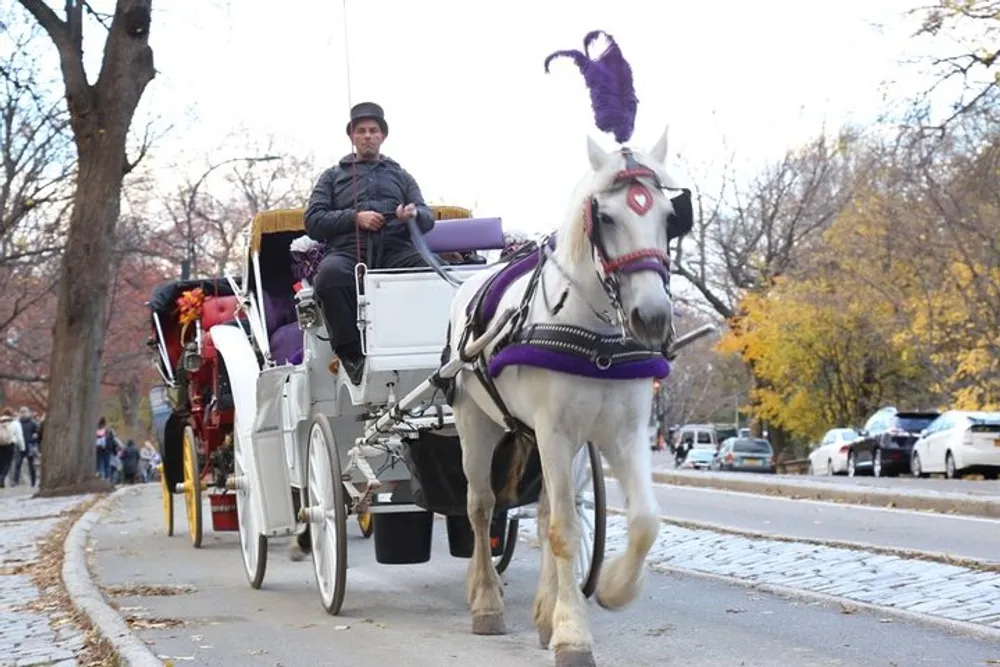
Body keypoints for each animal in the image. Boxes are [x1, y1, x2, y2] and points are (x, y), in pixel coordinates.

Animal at [446, 126, 688, 667]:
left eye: (670, 216)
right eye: (608, 217)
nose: (652, 318)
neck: (595, 334)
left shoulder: (623, 433)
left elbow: (642, 520)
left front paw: (612, 589)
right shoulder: (555, 432)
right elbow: (563, 531)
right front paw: (573, 634)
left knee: (540, 512)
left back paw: (544, 610)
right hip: (477, 424)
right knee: (480, 506)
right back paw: (486, 600)